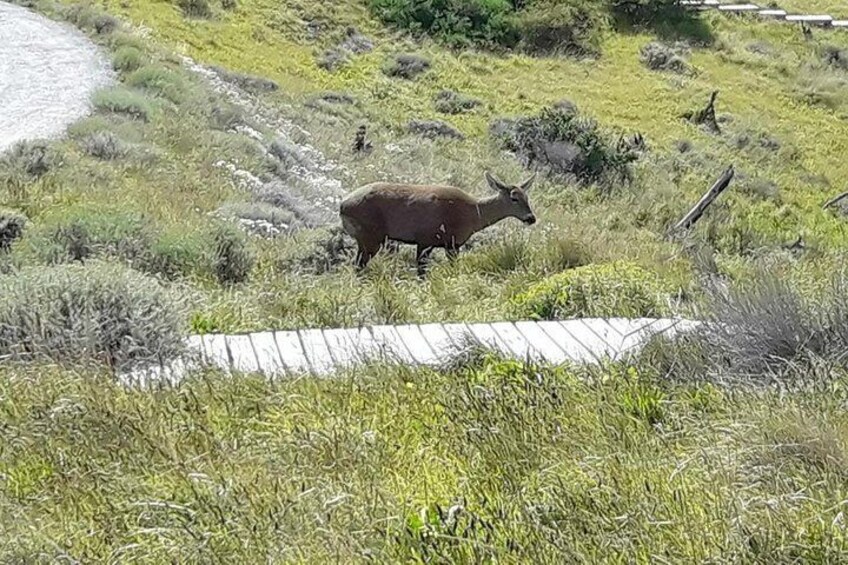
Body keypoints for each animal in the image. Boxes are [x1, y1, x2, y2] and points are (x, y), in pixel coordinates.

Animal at [338, 172, 536, 276]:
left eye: (527, 197)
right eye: (514, 198)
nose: (531, 218)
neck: (473, 214)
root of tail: (342, 205)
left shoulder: (447, 244)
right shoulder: (429, 240)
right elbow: (422, 273)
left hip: (365, 239)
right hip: (370, 236)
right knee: (359, 267)